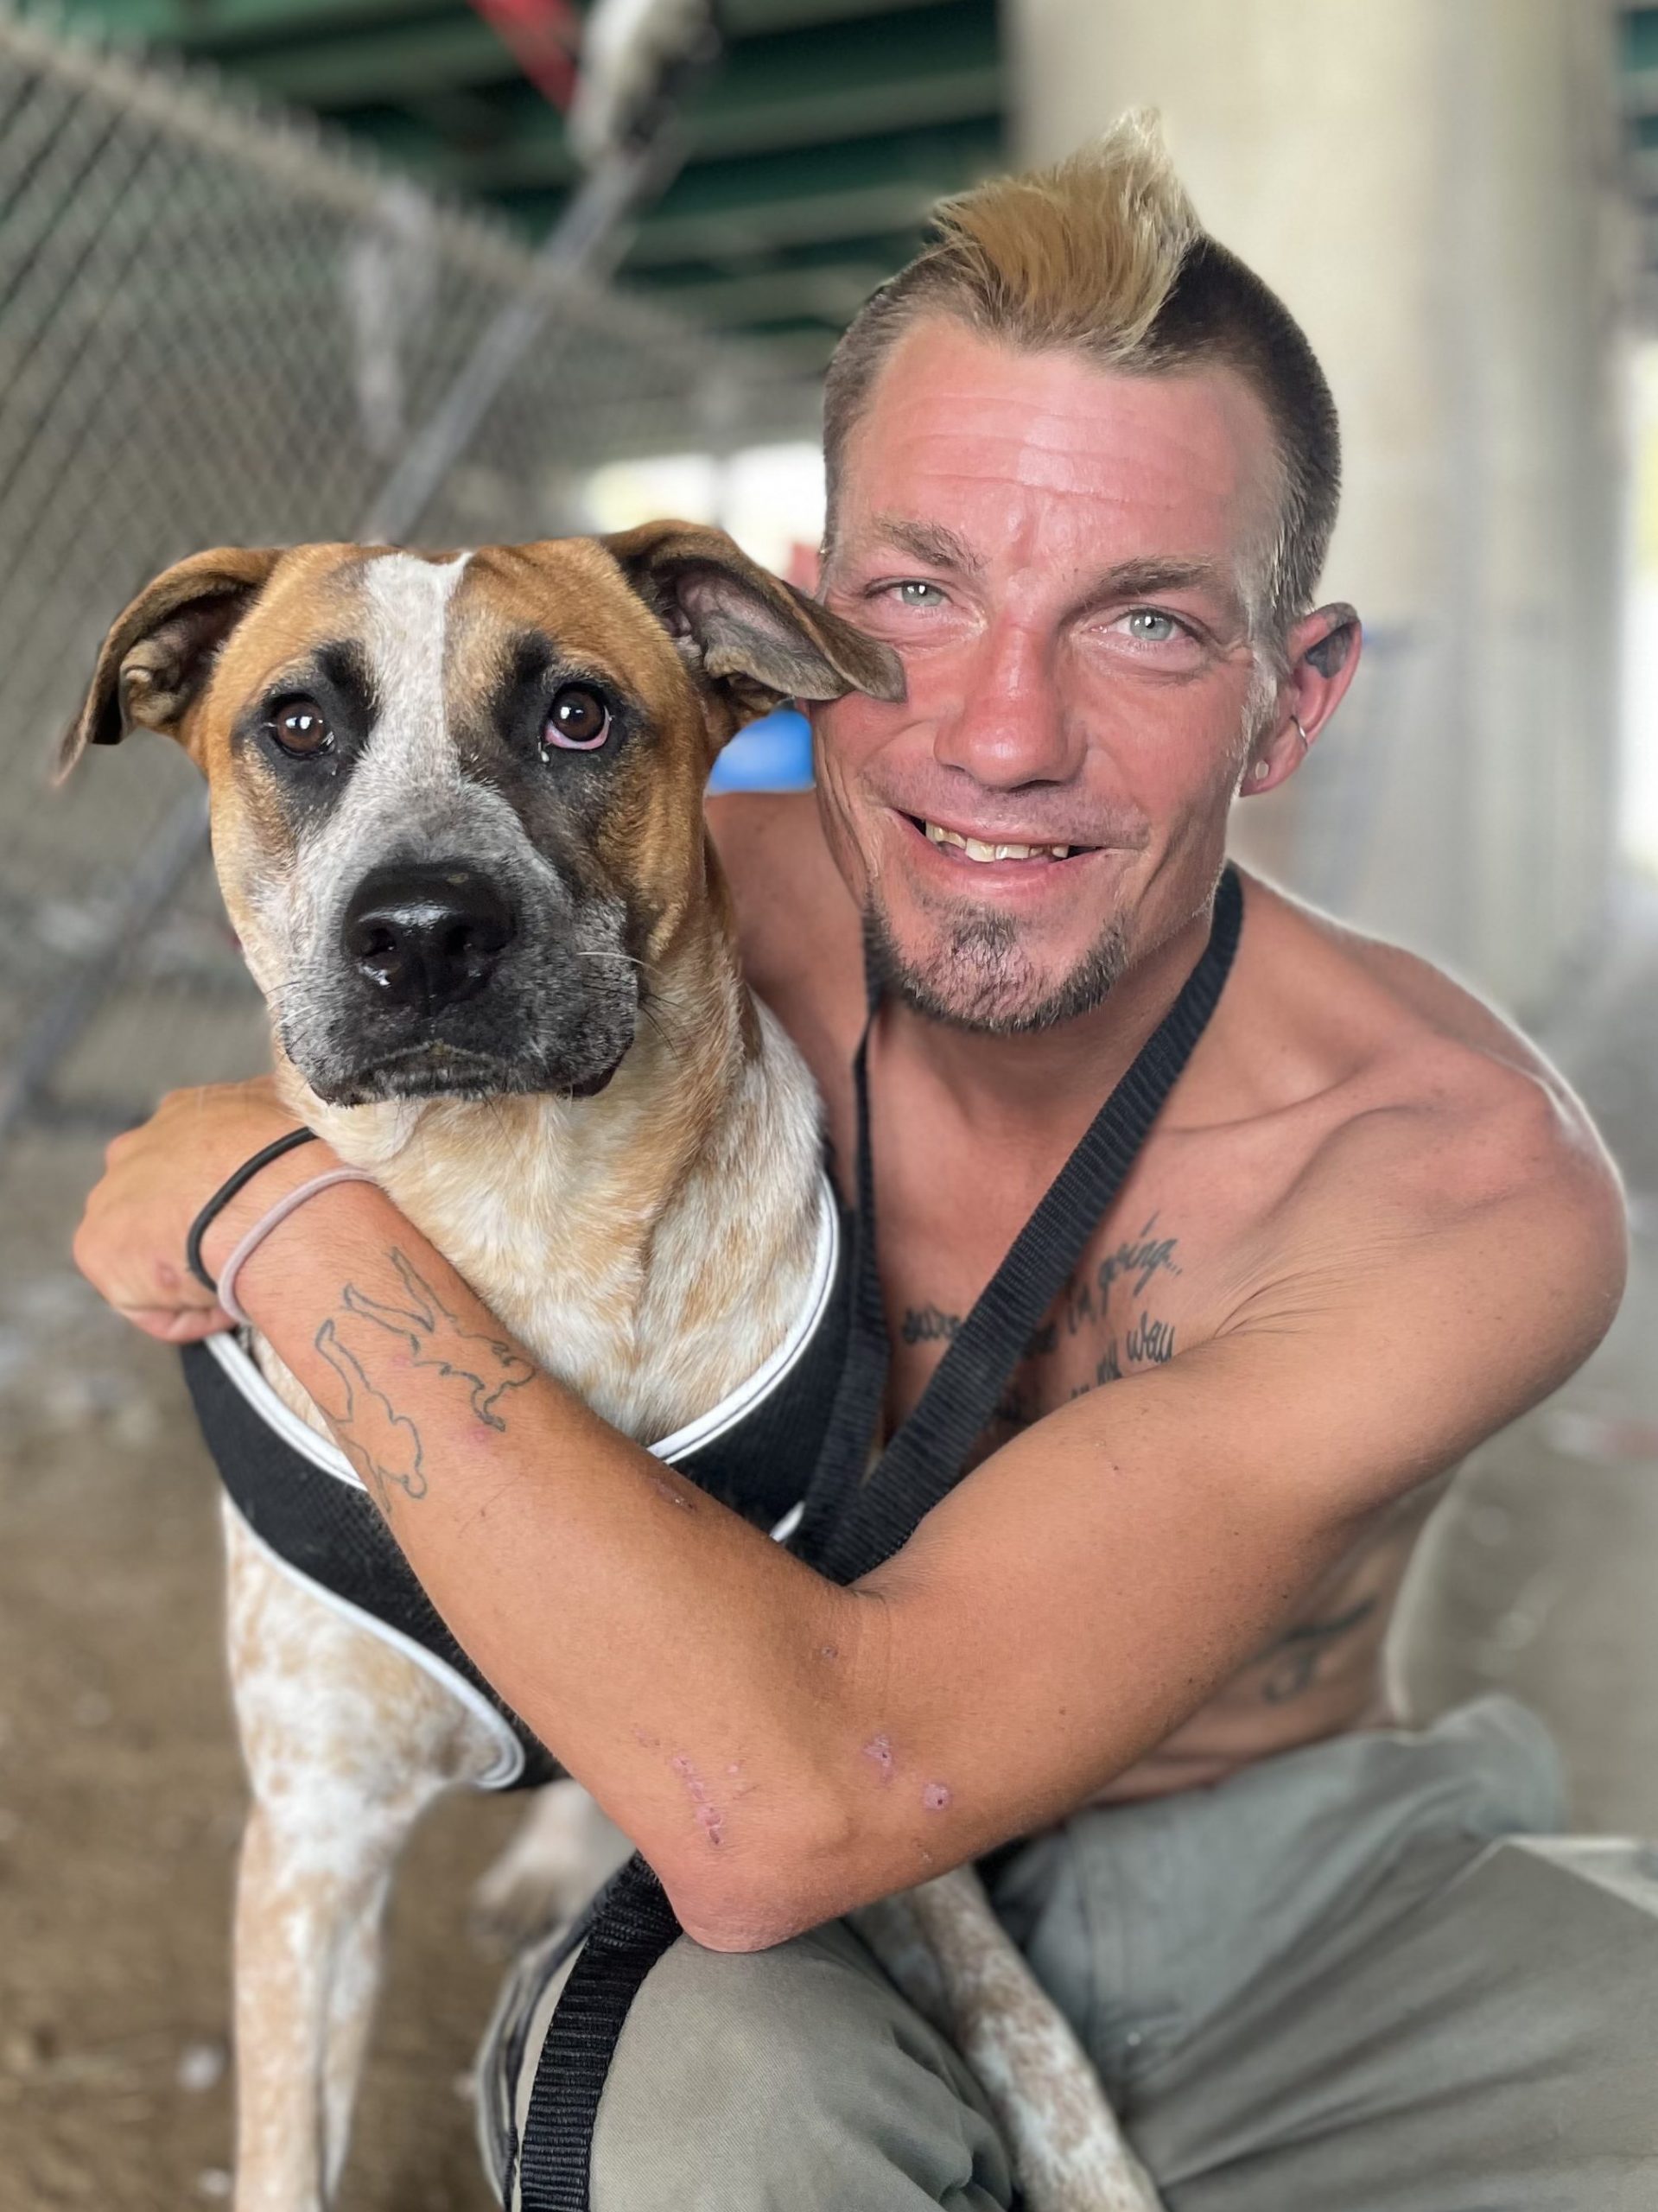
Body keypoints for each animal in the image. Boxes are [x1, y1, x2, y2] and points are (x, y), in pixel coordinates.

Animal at [61, 531, 1158, 2212]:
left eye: (576, 716)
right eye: (297, 725)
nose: (422, 933)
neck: (523, 1215)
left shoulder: (846, 1760)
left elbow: (1026, 2036)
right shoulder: (315, 1849)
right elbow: (283, 2155)